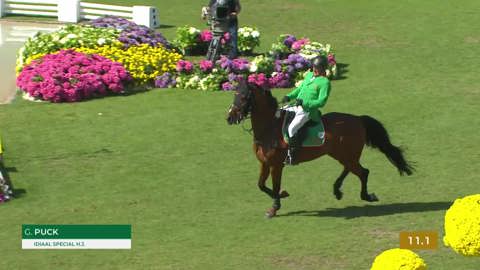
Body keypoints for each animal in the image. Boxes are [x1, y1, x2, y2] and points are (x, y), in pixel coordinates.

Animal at [226, 80, 412, 217]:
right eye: (234, 94)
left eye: (244, 97)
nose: (230, 118)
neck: (269, 128)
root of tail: (358, 119)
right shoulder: (264, 163)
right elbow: (261, 185)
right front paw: (282, 196)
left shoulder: (276, 165)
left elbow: (275, 186)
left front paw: (275, 207)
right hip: (342, 154)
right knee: (352, 169)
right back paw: (338, 190)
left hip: (346, 154)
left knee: (362, 172)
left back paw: (366, 196)